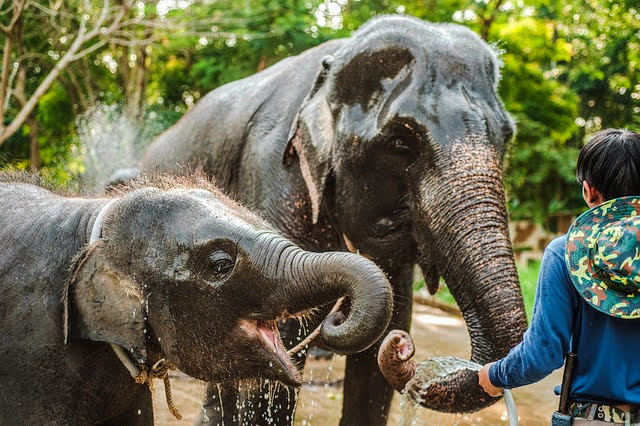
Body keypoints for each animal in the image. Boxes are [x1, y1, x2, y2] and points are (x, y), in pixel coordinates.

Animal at [142, 15, 528, 424]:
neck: (335, 61)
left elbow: (380, 350)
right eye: (400, 144)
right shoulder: (272, 172)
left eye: (506, 137)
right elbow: (273, 352)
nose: (404, 349)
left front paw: (386, 338)